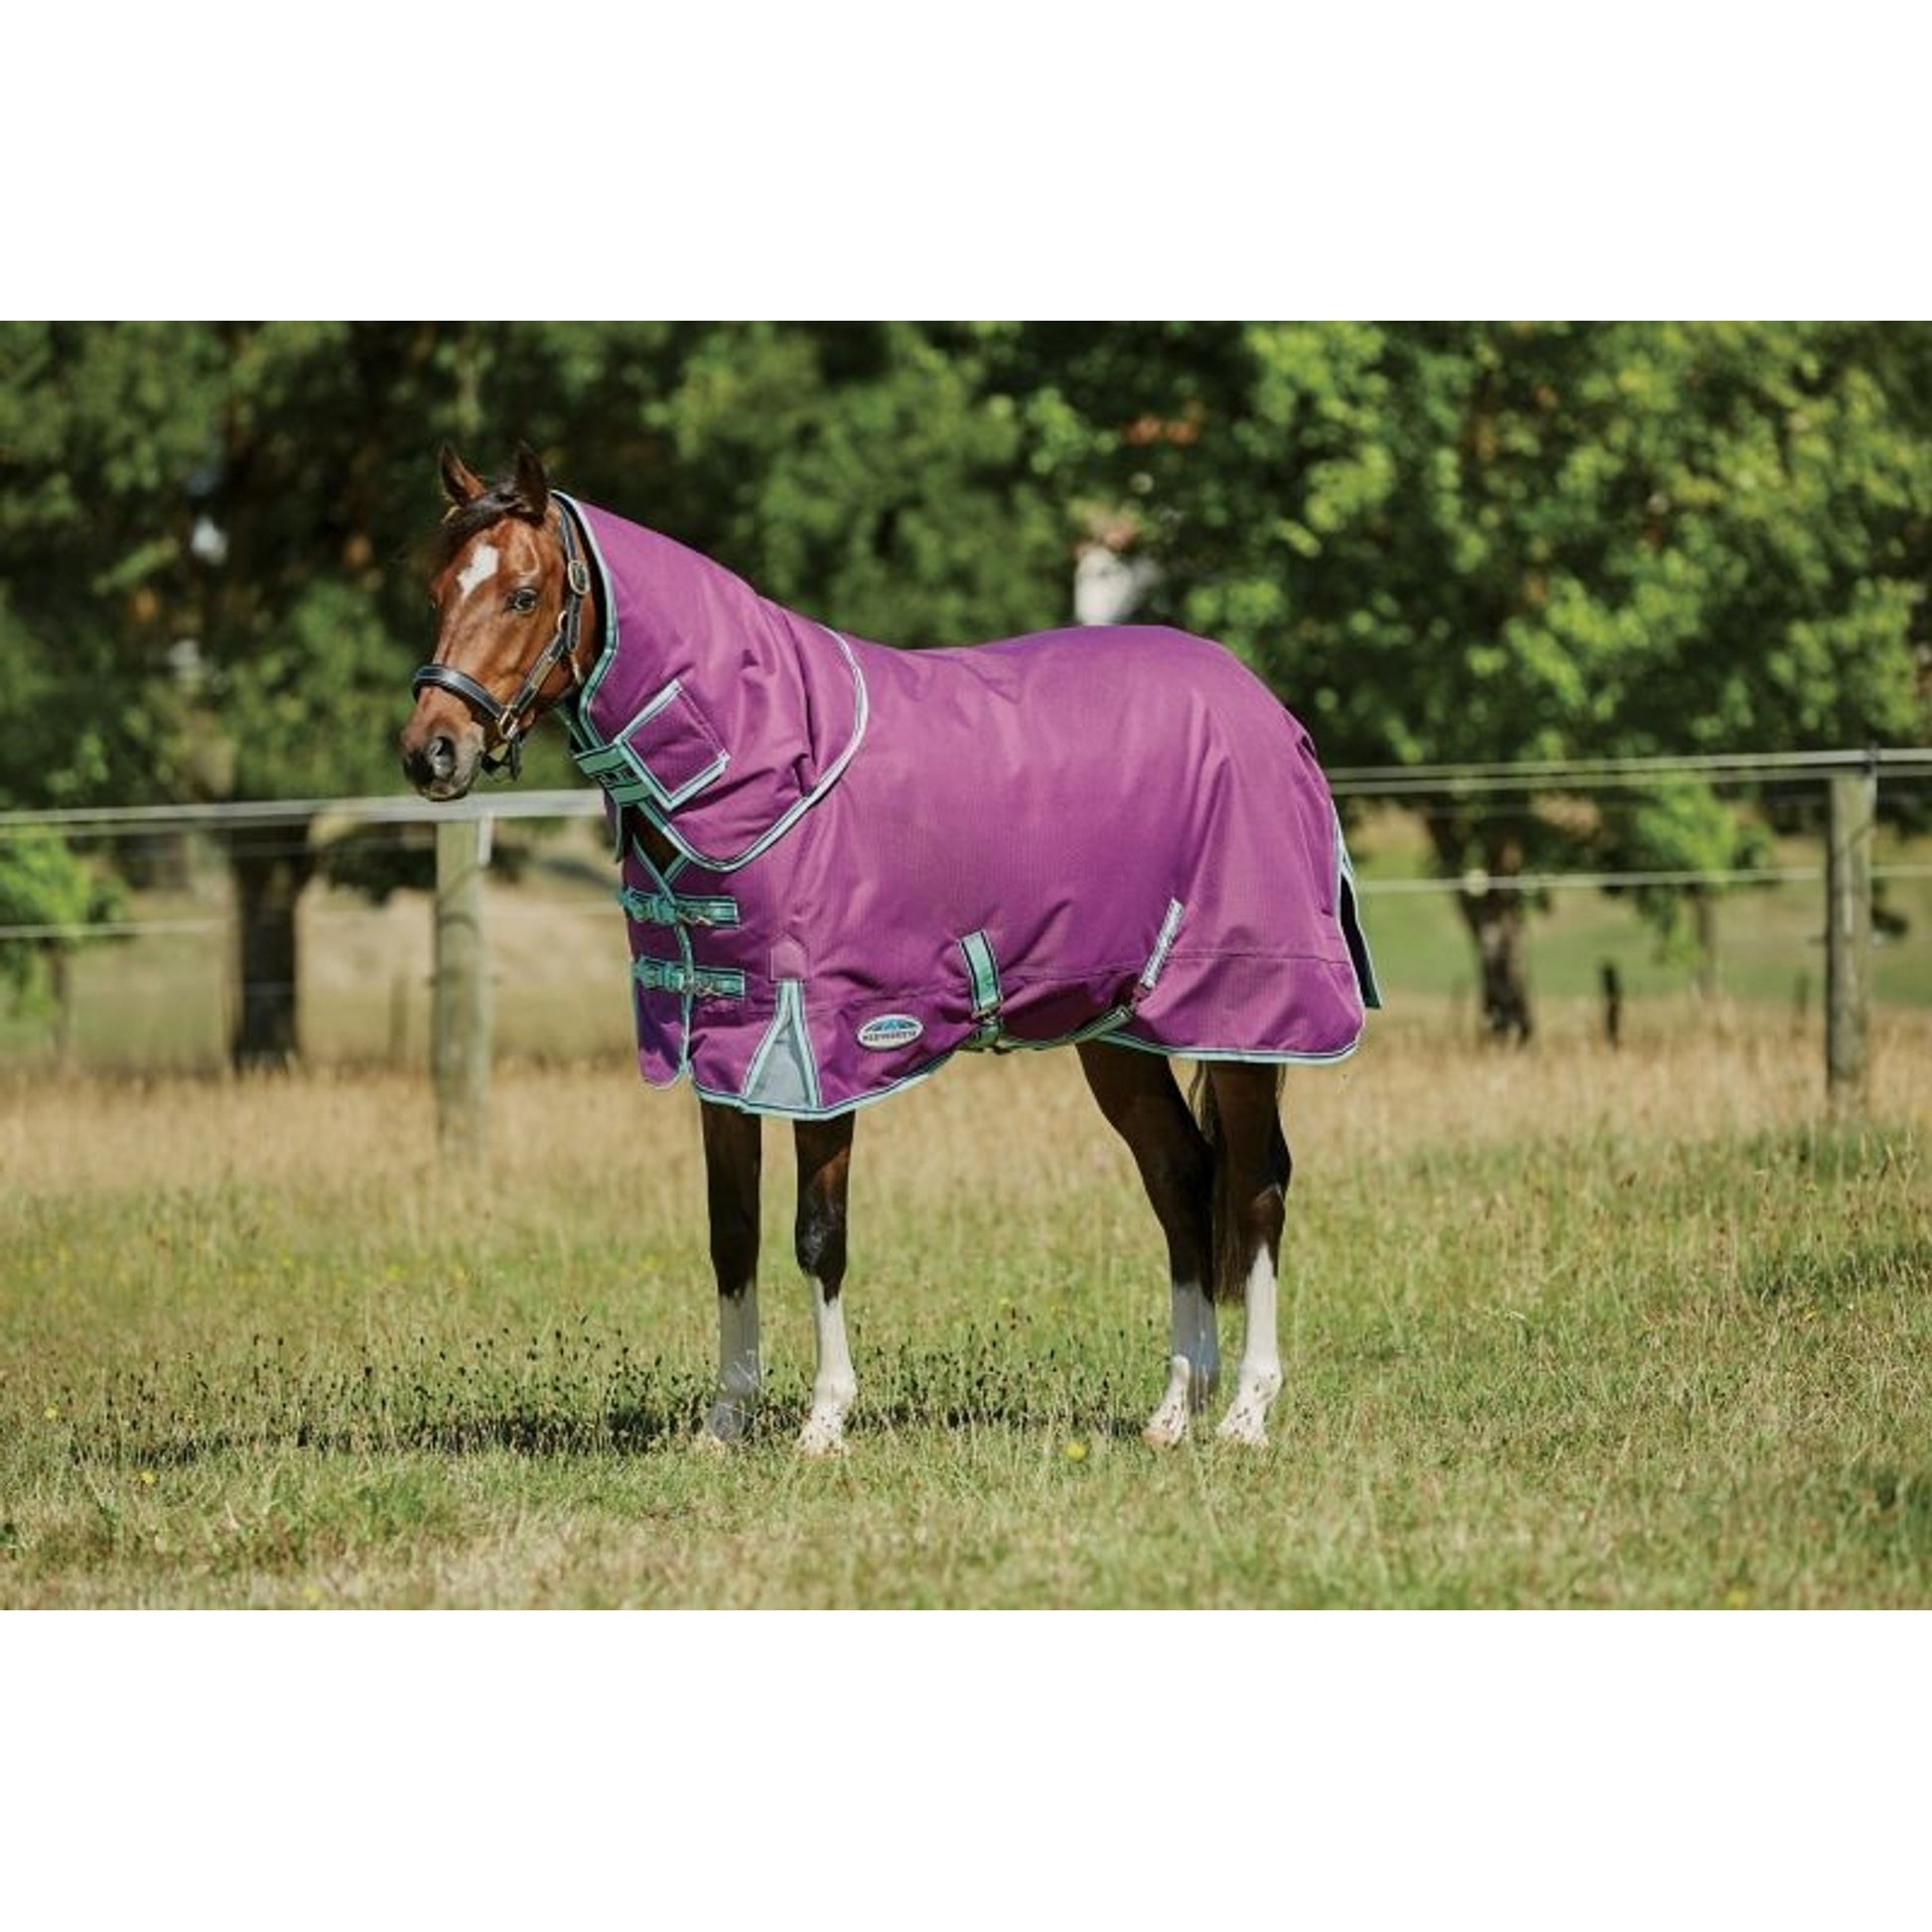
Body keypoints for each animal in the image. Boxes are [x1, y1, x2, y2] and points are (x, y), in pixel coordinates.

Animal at [400, 445, 1379, 1456]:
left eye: (522, 595)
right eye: (437, 587)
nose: (432, 751)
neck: (763, 754)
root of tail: (1267, 710)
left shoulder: (820, 1050)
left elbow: (817, 1232)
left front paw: (824, 1420)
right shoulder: (725, 1048)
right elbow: (731, 1232)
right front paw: (725, 1423)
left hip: (1247, 1021)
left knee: (1257, 1188)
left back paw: (1247, 1410)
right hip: (1119, 1033)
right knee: (1181, 1178)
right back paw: (1175, 1409)